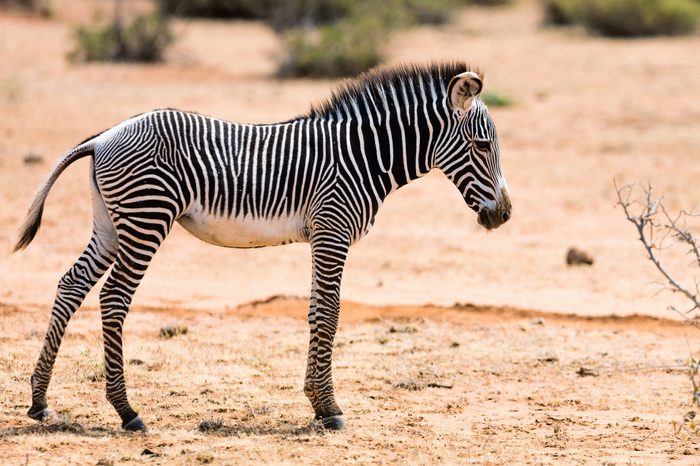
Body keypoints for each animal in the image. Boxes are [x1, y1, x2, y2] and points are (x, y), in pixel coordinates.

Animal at [13, 60, 512, 432]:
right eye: (482, 145)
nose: (504, 214)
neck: (362, 157)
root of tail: (104, 136)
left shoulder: (322, 236)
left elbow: (315, 310)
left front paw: (316, 402)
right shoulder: (334, 230)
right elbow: (330, 314)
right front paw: (330, 408)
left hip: (110, 224)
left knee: (71, 286)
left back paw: (39, 401)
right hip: (146, 218)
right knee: (114, 298)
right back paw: (127, 412)